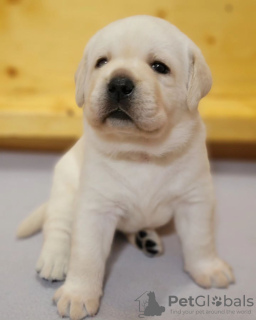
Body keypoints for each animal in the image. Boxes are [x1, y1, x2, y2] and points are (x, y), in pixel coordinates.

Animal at [17, 15, 235, 320]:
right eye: (102, 62)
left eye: (159, 67)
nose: (119, 83)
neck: (140, 151)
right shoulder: (95, 207)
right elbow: (86, 255)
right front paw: (78, 294)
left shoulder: (195, 199)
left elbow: (200, 239)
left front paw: (208, 268)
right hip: (65, 186)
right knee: (57, 224)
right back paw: (54, 258)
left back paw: (146, 238)